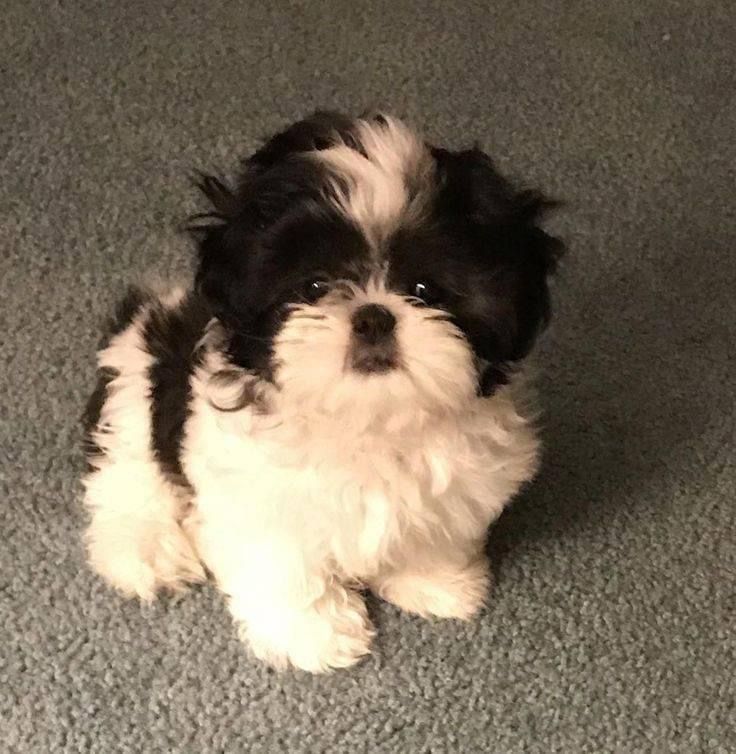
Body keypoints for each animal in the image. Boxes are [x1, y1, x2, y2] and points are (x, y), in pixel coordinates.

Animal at [82, 111, 564, 668]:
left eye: (425, 290)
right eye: (313, 287)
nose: (373, 316)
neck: (368, 422)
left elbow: (431, 529)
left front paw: (435, 583)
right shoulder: (255, 494)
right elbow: (285, 563)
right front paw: (313, 635)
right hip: (137, 388)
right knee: (128, 473)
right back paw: (145, 549)